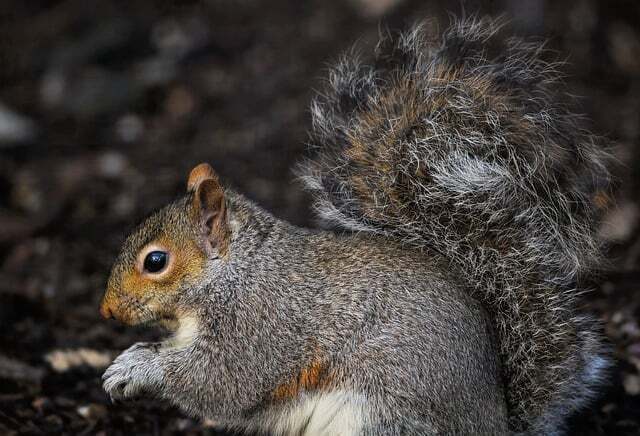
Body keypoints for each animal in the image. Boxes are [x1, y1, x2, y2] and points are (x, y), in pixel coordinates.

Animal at [99, 17, 608, 436]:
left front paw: (136, 366)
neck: (234, 273)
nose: (107, 311)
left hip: (383, 414)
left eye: (156, 261)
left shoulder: (259, 325)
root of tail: (493, 426)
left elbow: (221, 382)